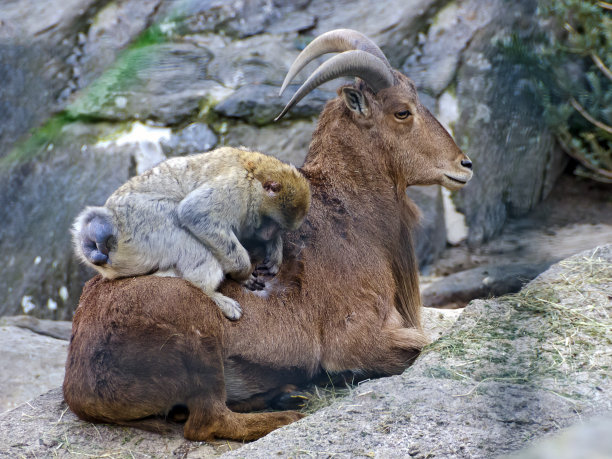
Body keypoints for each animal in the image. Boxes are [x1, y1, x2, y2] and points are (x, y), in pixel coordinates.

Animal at [72, 147, 310, 320]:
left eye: (280, 227)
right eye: (273, 222)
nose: (271, 233)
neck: (256, 172)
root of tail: (110, 219)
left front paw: (274, 249)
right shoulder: (237, 188)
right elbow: (196, 213)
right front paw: (243, 273)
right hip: (140, 223)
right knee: (177, 223)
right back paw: (210, 293)